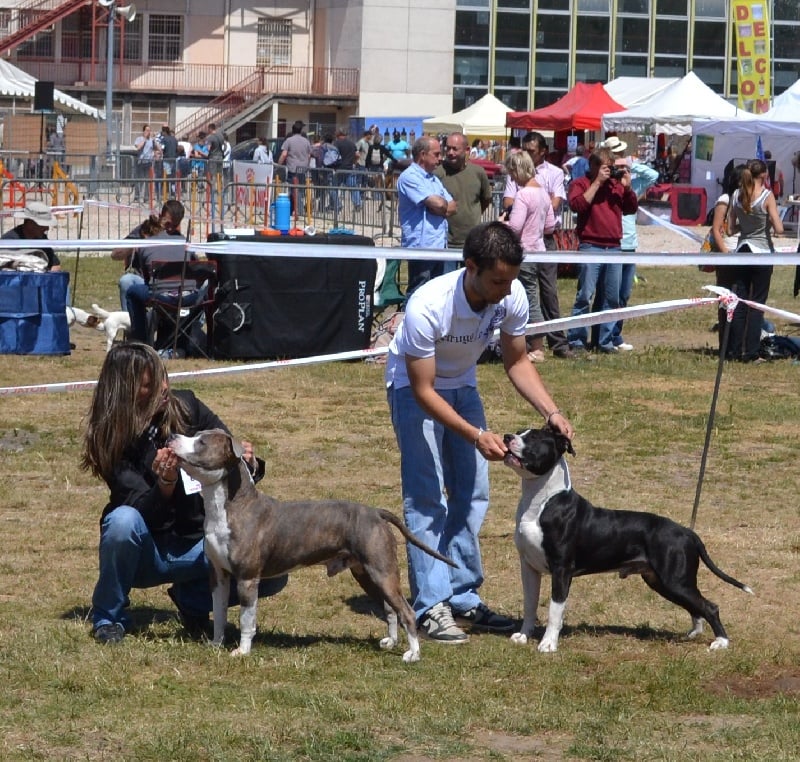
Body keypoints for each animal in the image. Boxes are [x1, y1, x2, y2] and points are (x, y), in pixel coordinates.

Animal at [504, 424, 752, 652]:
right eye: (519, 430)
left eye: (534, 437)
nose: (506, 436)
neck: (541, 501)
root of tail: (687, 532)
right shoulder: (528, 566)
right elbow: (530, 603)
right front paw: (523, 636)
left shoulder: (561, 570)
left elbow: (555, 610)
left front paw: (548, 644)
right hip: (663, 582)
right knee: (696, 607)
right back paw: (693, 633)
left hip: (676, 580)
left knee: (710, 607)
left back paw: (721, 642)